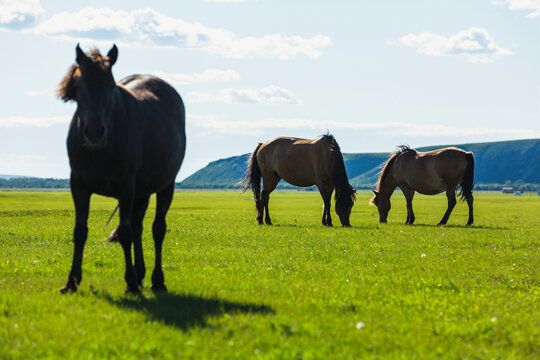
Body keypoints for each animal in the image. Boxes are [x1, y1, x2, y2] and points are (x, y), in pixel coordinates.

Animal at [57, 44, 186, 292]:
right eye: (78, 88)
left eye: (110, 85)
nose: (95, 132)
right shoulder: (78, 185)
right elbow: (80, 232)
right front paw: (72, 280)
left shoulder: (127, 187)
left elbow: (125, 233)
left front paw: (131, 283)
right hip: (142, 192)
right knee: (138, 227)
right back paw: (140, 273)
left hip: (165, 187)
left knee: (157, 229)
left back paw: (156, 280)